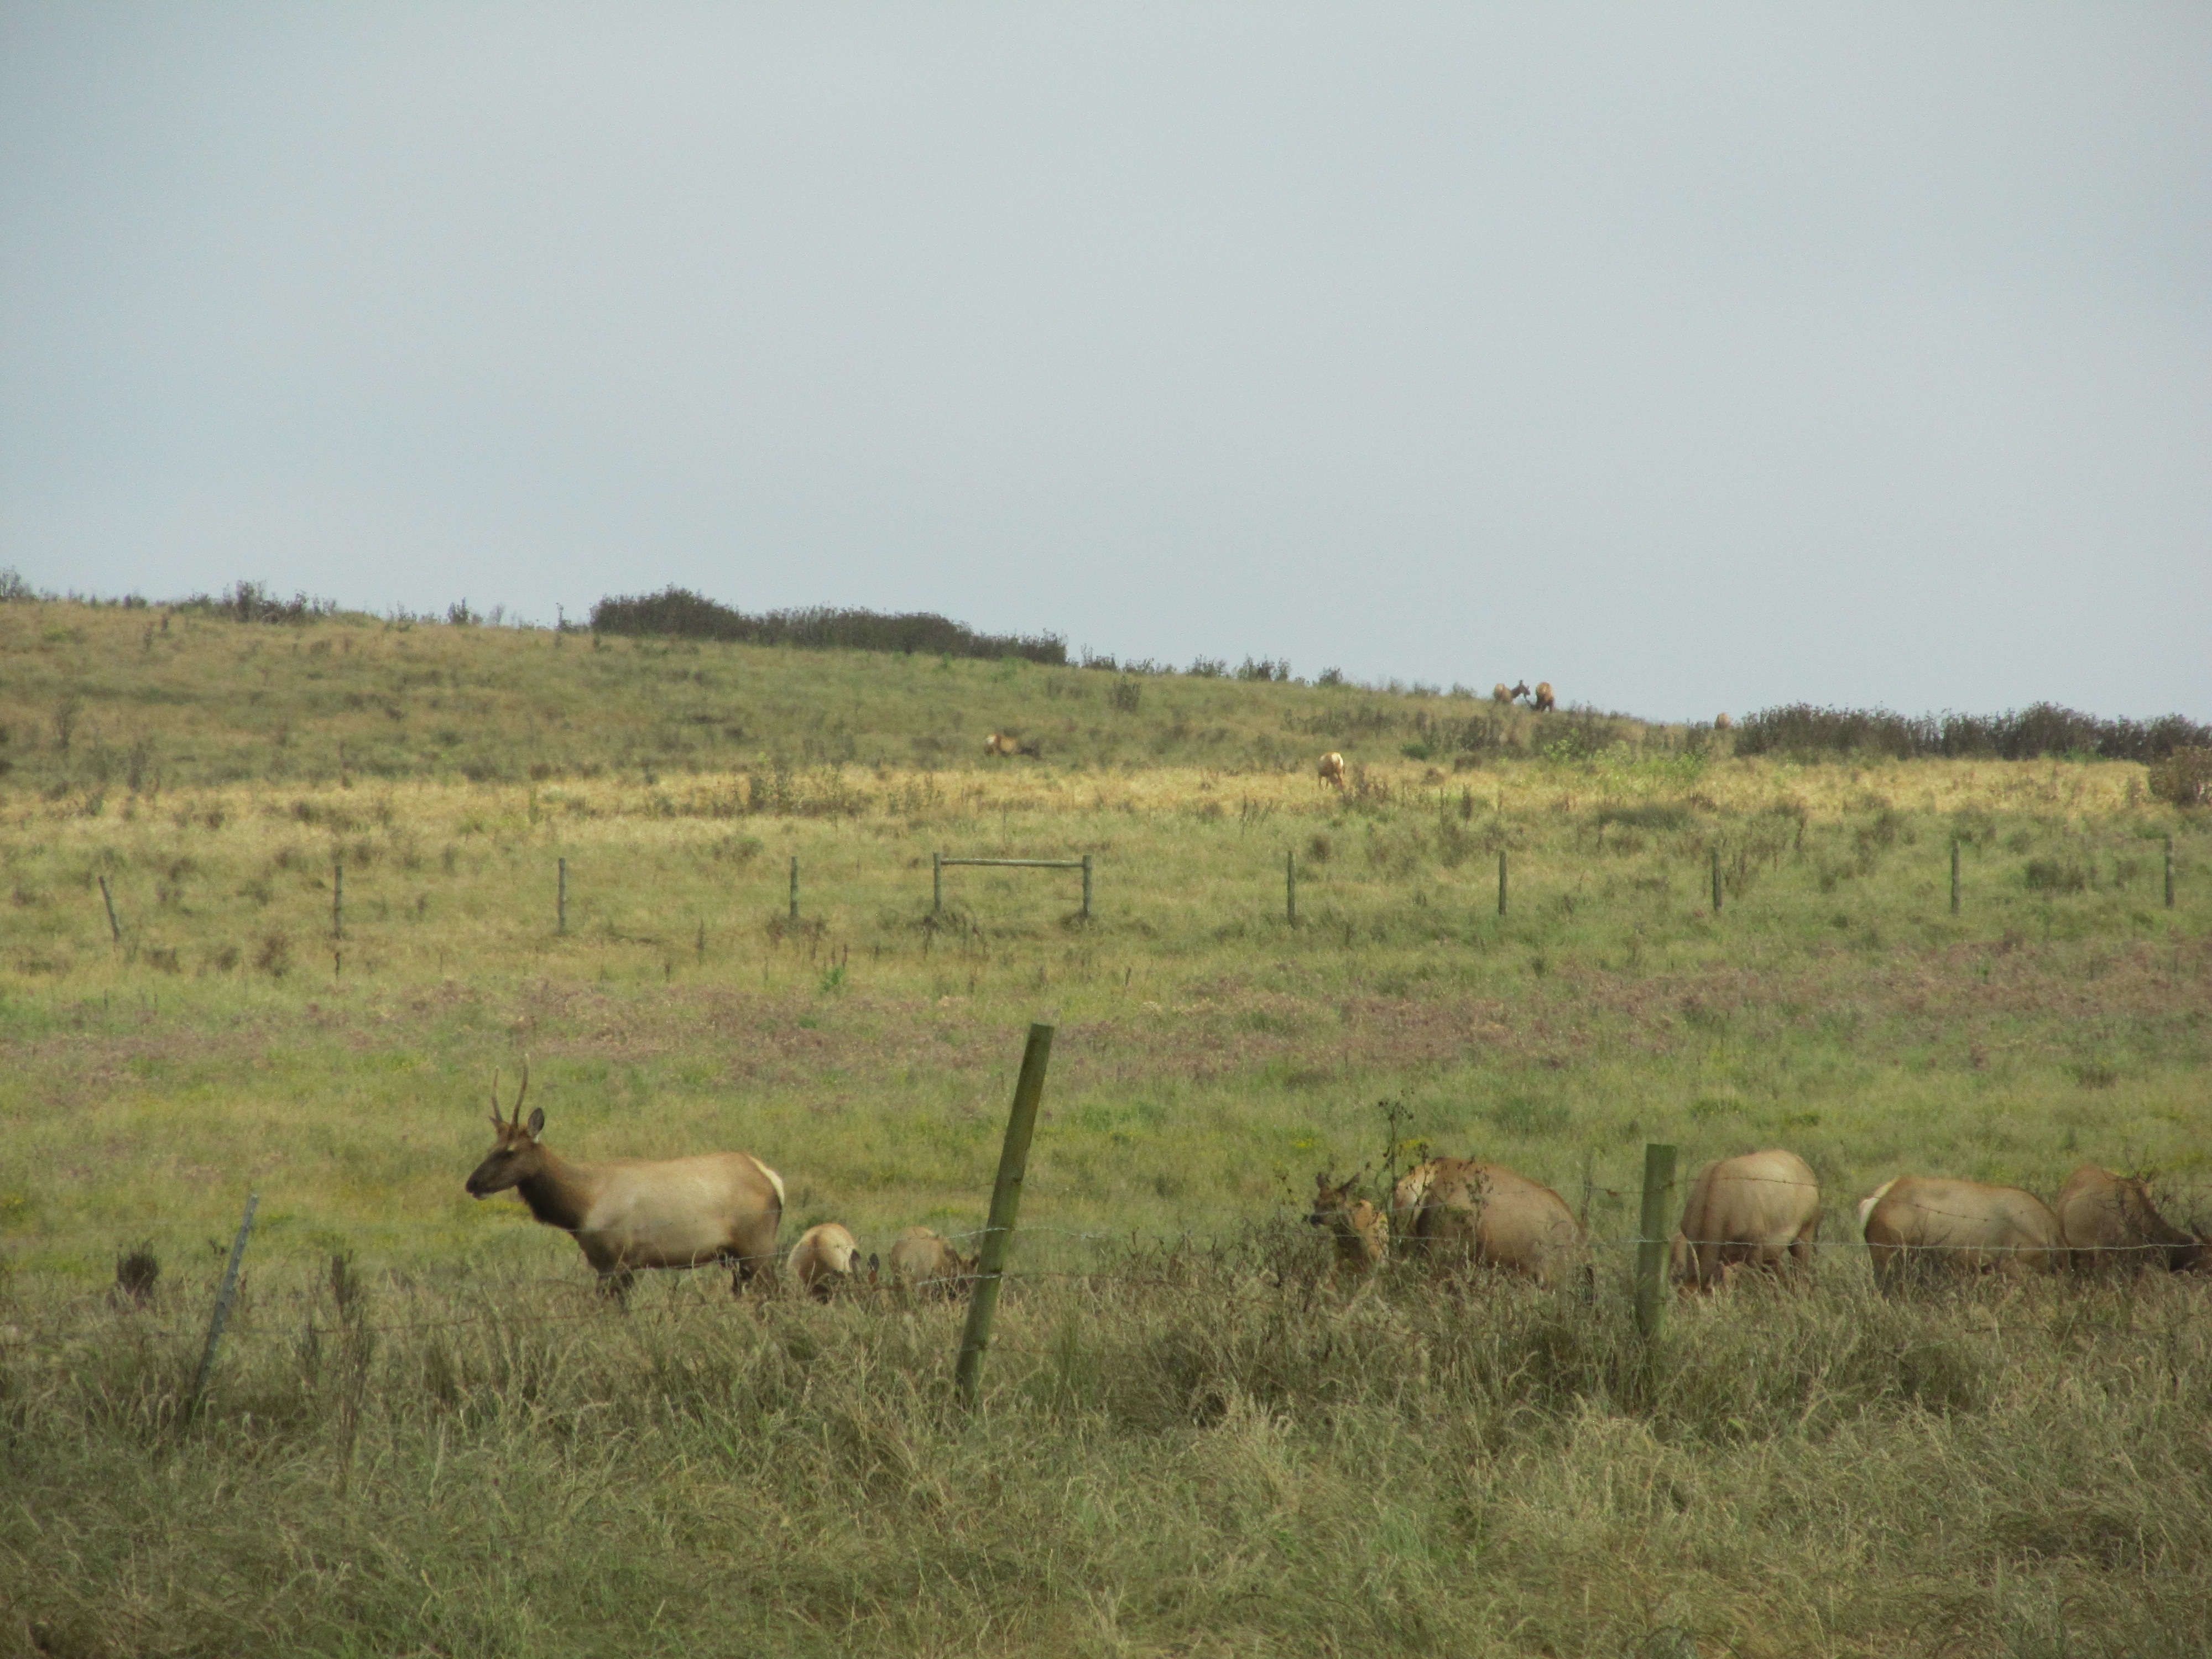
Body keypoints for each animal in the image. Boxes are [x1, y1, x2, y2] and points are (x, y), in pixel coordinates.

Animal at [463, 1063, 785, 1301]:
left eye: (510, 1152)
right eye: (490, 1148)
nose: (473, 1184)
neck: (581, 1207)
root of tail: (772, 1179)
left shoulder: (615, 1261)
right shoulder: (617, 1265)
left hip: (757, 1248)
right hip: (737, 1257)